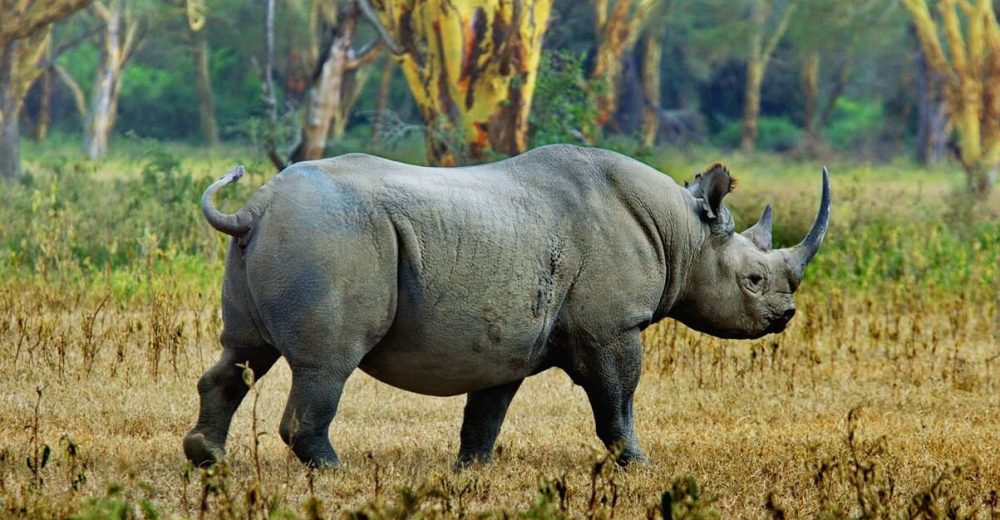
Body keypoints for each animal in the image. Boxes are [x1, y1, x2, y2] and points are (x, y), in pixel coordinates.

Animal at [184, 144, 830, 468]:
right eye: (753, 281)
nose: (786, 317)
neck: (684, 233)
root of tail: (254, 208)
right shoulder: (612, 328)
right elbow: (617, 400)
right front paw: (640, 466)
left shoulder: (507, 340)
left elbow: (487, 411)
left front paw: (471, 471)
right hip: (329, 235)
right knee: (328, 364)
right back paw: (335, 472)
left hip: (282, 239)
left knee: (243, 351)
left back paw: (206, 459)